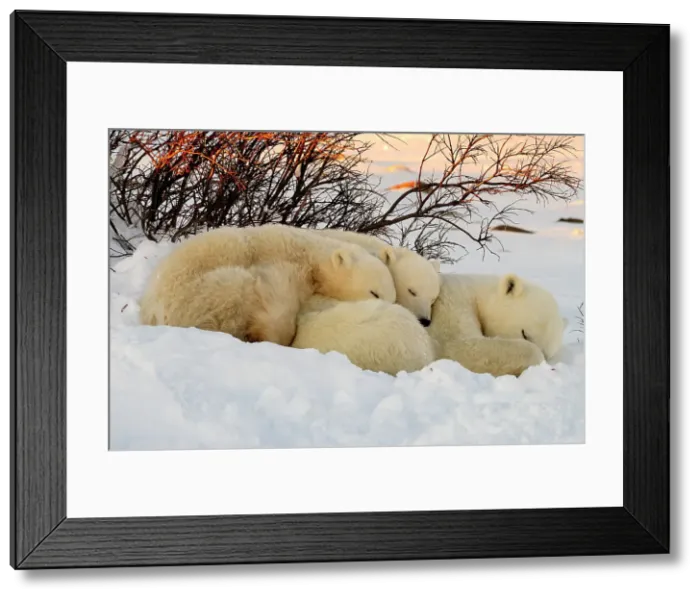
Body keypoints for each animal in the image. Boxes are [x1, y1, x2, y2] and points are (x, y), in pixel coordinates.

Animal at [139, 223, 397, 344]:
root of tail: (152, 313)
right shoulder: (279, 270)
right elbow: (277, 311)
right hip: (202, 293)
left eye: (393, 297)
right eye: (374, 292)